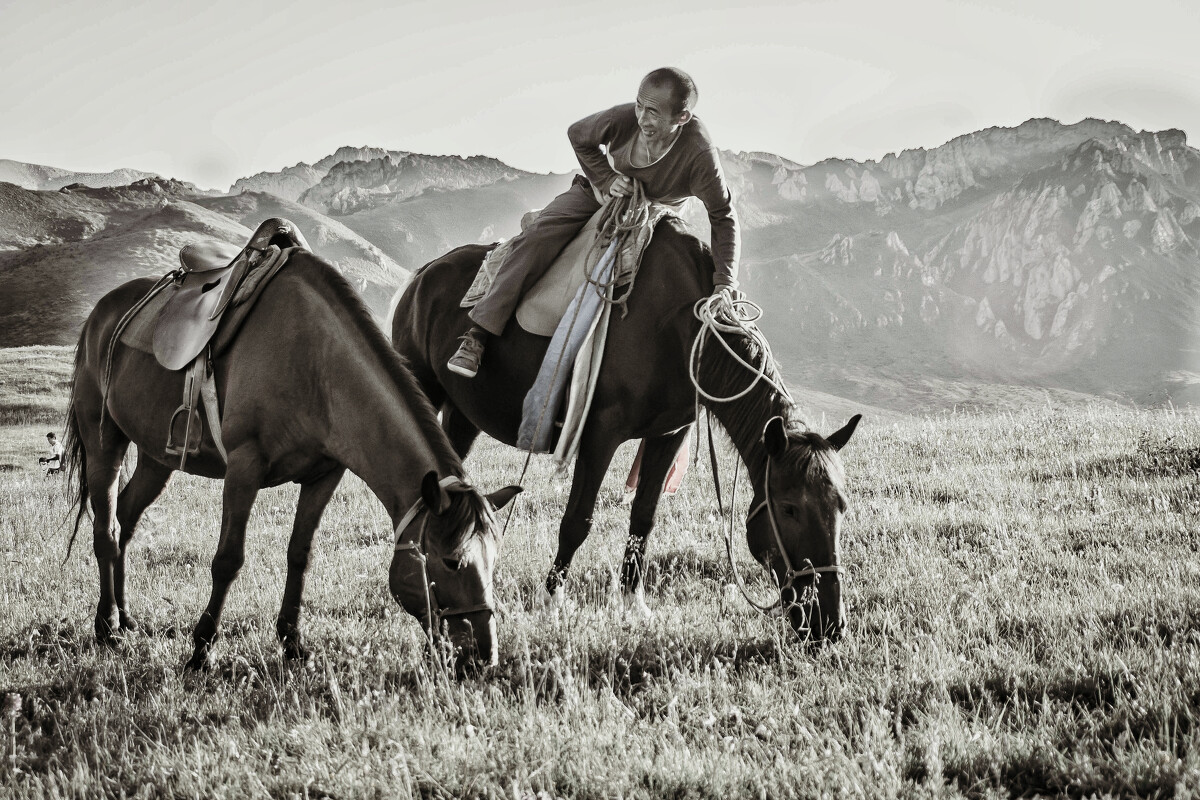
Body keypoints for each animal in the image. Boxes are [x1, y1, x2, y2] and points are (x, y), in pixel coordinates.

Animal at [63, 248, 518, 671]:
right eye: (452, 561)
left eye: (495, 560)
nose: (484, 656)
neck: (315, 364)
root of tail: (101, 312)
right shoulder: (244, 469)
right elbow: (228, 560)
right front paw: (201, 650)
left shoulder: (324, 476)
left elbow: (300, 555)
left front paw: (292, 642)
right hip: (105, 443)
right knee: (105, 530)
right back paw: (106, 627)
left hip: (157, 457)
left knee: (125, 519)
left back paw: (126, 616)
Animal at [388, 220, 859, 642]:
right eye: (789, 508)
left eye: (841, 507)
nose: (828, 622)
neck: (678, 329)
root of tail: (422, 278)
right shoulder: (601, 434)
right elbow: (577, 520)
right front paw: (551, 604)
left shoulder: (668, 433)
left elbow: (643, 519)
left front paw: (634, 604)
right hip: (423, 390)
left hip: (463, 414)